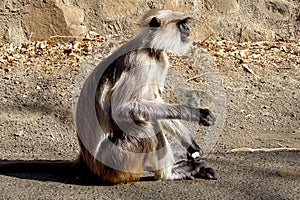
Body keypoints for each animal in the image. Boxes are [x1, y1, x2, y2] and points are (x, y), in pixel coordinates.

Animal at [74, 9, 216, 184]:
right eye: (181, 24)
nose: (187, 29)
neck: (150, 50)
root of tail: (88, 162)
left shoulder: (161, 61)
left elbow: (155, 101)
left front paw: (191, 143)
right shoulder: (140, 62)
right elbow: (122, 109)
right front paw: (197, 113)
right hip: (115, 159)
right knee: (147, 125)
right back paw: (169, 174)